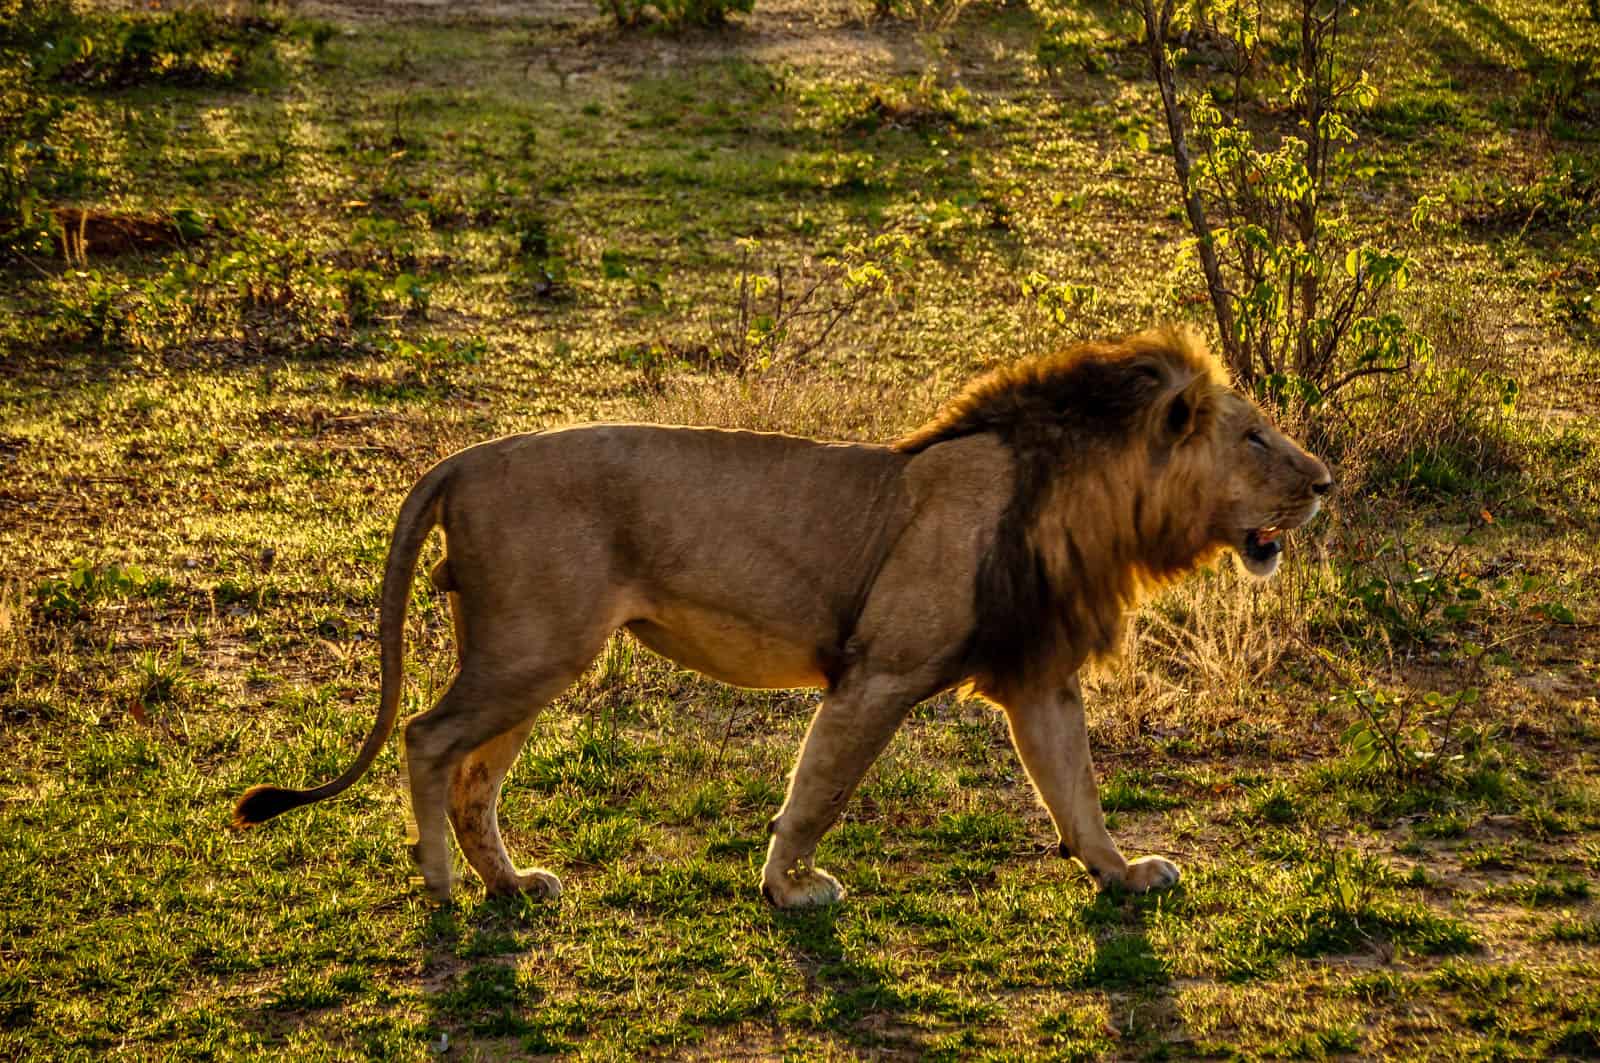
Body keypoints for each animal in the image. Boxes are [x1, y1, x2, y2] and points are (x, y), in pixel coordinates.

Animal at [233, 326, 1331, 908]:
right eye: (1255, 437)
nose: (1322, 483)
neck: (1096, 503)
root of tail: (462, 457)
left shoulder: (1039, 674)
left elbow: (1076, 793)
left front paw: (1122, 873)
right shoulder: (880, 670)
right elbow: (820, 786)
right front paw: (790, 888)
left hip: (537, 656)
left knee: (474, 775)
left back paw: (511, 885)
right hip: (532, 647)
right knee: (426, 738)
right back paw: (442, 886)